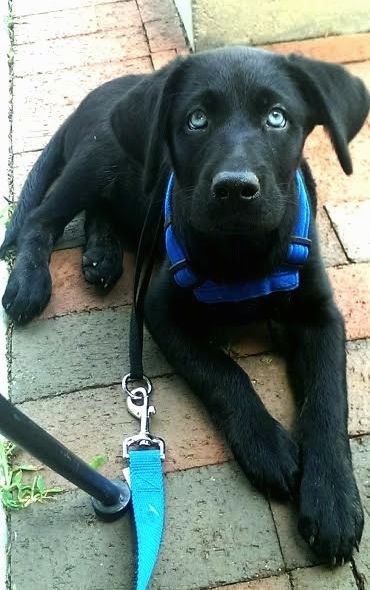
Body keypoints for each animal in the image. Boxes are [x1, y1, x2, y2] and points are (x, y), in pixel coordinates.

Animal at [1, 46, 368, 564]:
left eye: (277, 117)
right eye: (196, 120)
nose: (235, 189)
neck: (242, 253)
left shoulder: (320, 315)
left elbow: (328, 399)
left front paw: (333, 500)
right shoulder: (161, 312)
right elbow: (222, 374)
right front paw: (267, 446)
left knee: (100, 210)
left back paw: (101, 256)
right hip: (96, 156)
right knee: (42, 218)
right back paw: (30, 282)